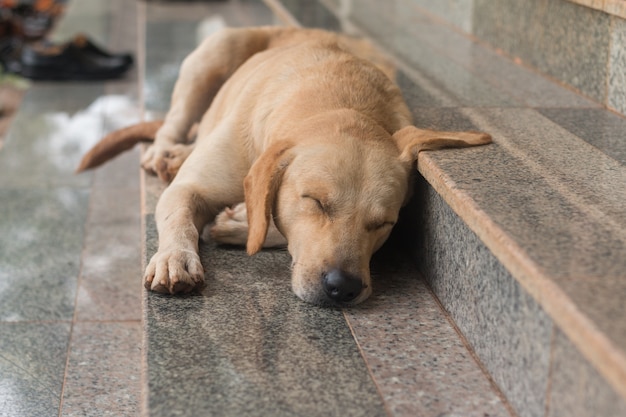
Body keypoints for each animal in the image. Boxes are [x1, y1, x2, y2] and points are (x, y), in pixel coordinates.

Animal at [77, 26, 488, 306]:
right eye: (315, 201)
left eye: (383, 224)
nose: (343, 287)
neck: (339, 101)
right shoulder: (188, 189)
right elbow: (178, 215)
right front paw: (175, 256)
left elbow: (268, 218)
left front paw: (241, 223)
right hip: (213, 54)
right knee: (173, 124)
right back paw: (164, 153)